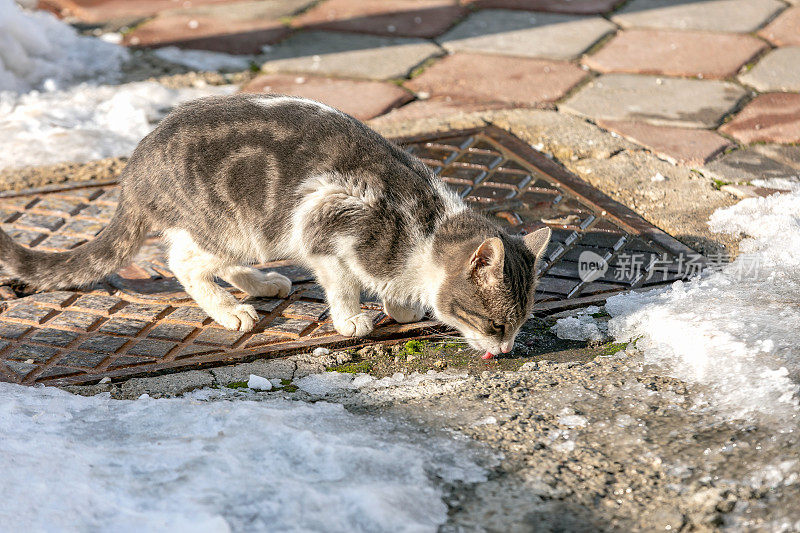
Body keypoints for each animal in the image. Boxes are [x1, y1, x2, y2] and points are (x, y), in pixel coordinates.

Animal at [0, 94, 552, 358]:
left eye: (520, 323)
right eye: (496, 325)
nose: (506, 351)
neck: (426, 228)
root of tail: (135, 168)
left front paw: (400, 304)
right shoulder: (325, 217)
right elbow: (343, 281)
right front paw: (354, 317)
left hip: (249, 237)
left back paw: (261, 282)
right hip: (234, 225)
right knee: (183, 261)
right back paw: (229, 310)